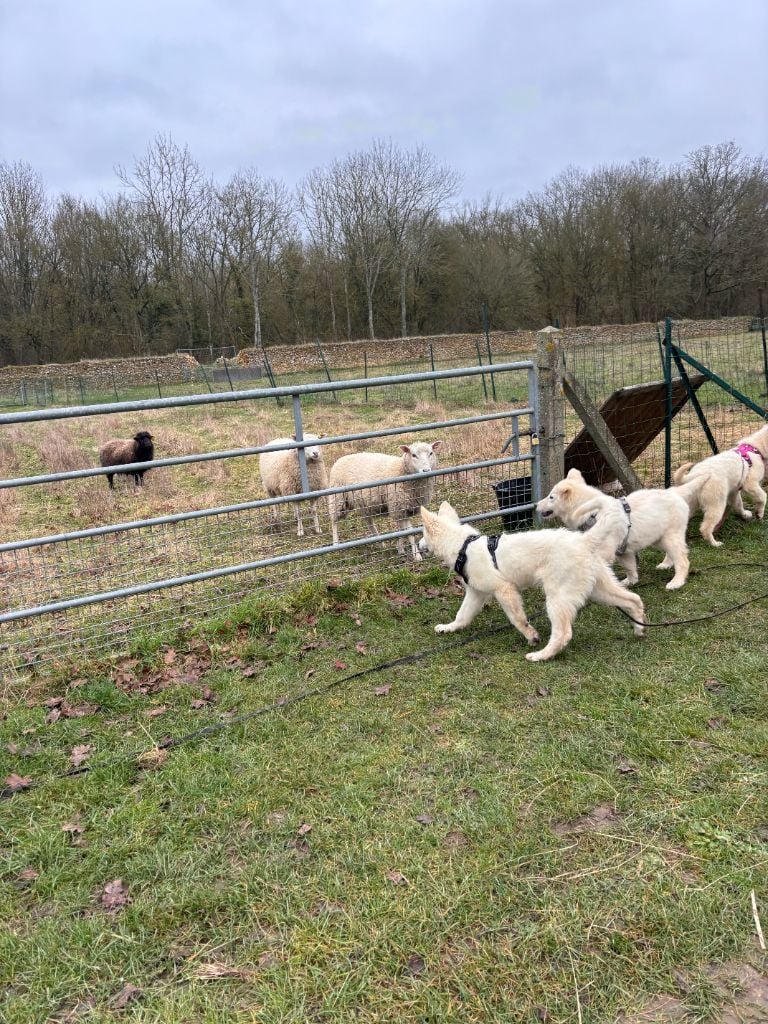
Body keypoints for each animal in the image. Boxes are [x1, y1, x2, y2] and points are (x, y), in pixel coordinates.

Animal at [417, 501, 647, 663]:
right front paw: (449, 628)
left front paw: (531, 636)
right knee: (634, 599)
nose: (418, 546)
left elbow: (518, 619)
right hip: (598, 590)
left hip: (557, 599)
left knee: (563, 634)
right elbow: (462, 616)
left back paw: (540, 655)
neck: (464, 546)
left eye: (422, 534)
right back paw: (639, 629)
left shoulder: (504, 590)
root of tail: (582, 540)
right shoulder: (476, 594)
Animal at [536, 466, 708, 589]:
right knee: (673, 554)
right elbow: (630, 568)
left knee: (683, 560)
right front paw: (630, 582)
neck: (594, 513)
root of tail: (674, 492)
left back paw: (676, 582)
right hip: (659, 537)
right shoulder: (624, 552)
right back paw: (666, 564)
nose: (536, 505)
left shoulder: (605, 551)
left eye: (551, 497)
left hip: (670, 536)